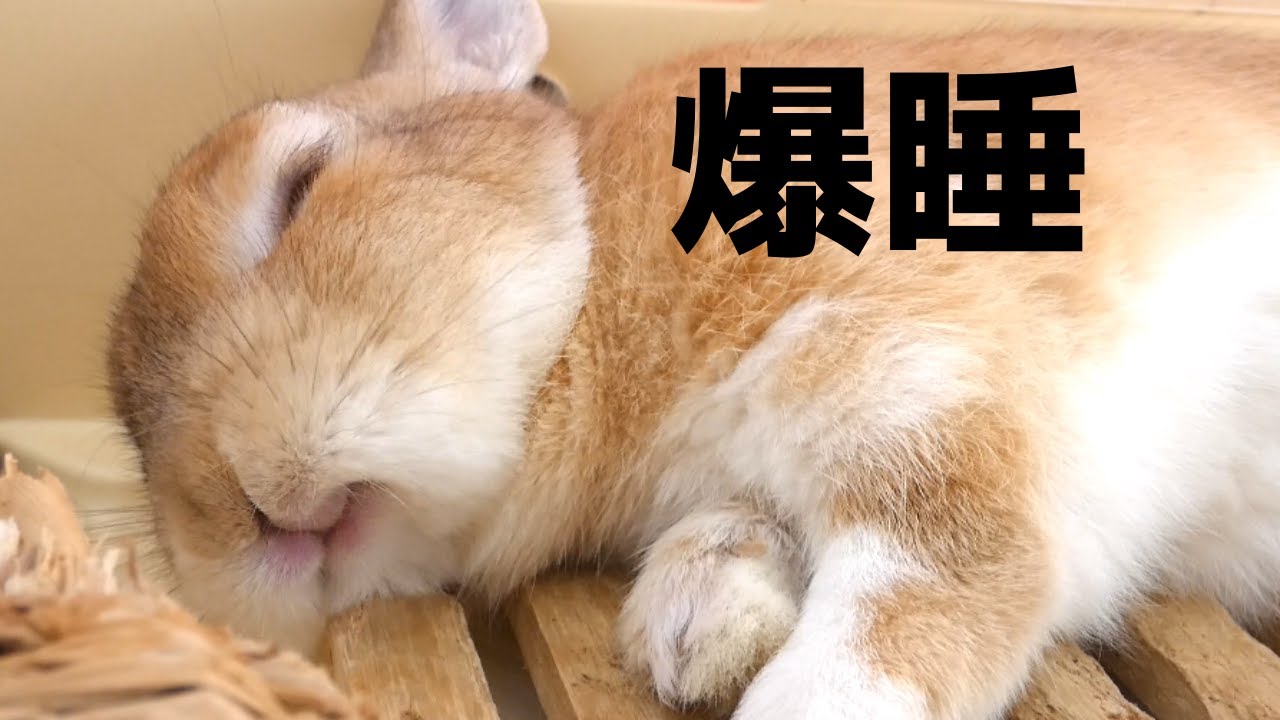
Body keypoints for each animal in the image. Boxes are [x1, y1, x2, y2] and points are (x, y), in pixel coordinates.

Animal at [104, 0, 1280, 718]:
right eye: (127, 426)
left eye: (302, 184)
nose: (241, 509)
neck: (593, 282)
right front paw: (691, 621)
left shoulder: (909, 362)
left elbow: (937, 571)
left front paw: (791, 693)